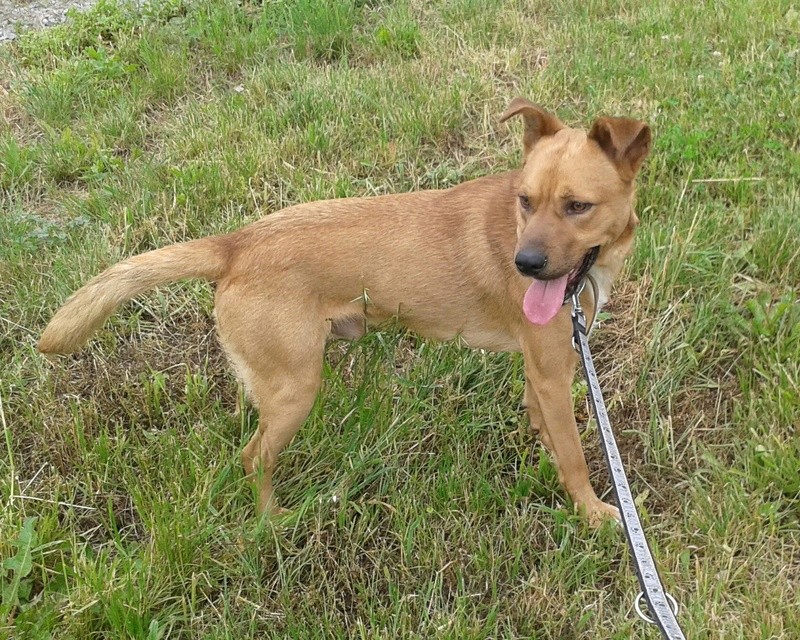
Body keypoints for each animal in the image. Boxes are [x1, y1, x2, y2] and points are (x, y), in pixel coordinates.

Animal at [39, 98, 651, 524]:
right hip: (295, 390)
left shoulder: (541, 366)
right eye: (526, 201)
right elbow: (575, 455)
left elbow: (547, 431)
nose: (525, 264)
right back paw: (273, 522)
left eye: (577, 206)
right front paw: (594, 513)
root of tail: (237, 244)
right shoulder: (553, 371)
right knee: (253, 458)